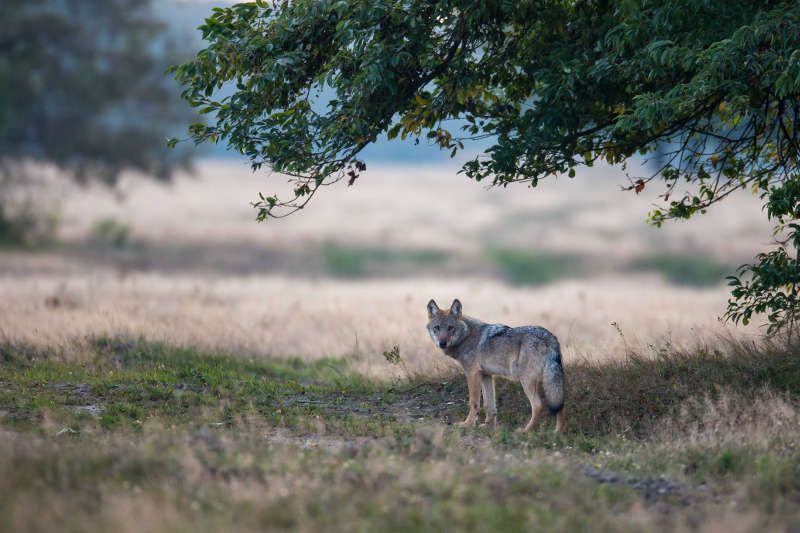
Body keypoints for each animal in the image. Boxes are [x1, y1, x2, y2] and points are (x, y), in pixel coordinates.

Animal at [428, 298, 564, 430]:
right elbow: (489, 405)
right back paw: (558, 432)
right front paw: (488, 426)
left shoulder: (472, 374)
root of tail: (549, 337)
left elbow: (474, 402)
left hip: (527, 380)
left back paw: (526, 430)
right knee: (560, 404)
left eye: (450, 328)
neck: (467, 336)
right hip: (551, 381)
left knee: (538, 406)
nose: (442, 343)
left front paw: (467, 424)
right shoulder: (486, 375)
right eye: (437, 328)